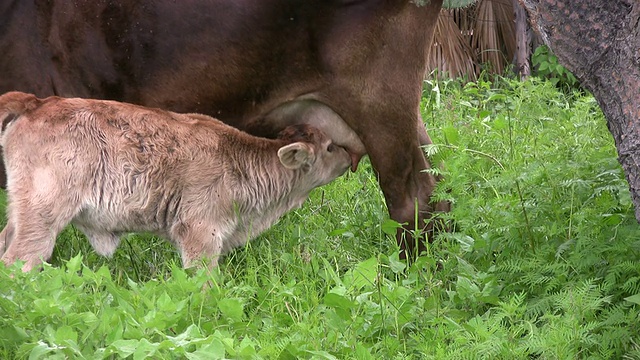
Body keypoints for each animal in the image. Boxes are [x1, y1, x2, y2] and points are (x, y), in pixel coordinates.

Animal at [0, 91, 350, 272]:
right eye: (330, 147)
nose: (349, 157)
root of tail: (38, 102)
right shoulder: (200, 231)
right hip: (43, 215)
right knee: (20, 260)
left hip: (21, 209)